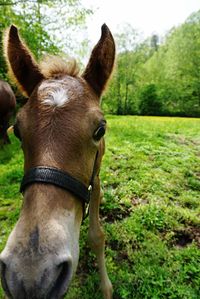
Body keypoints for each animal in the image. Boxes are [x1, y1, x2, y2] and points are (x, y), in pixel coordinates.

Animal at [0, 24, 115, 298]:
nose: (30, 275)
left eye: (100, 130)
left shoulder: (94, 180)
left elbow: (96, 236)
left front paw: (106, 287)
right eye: (18, 130)